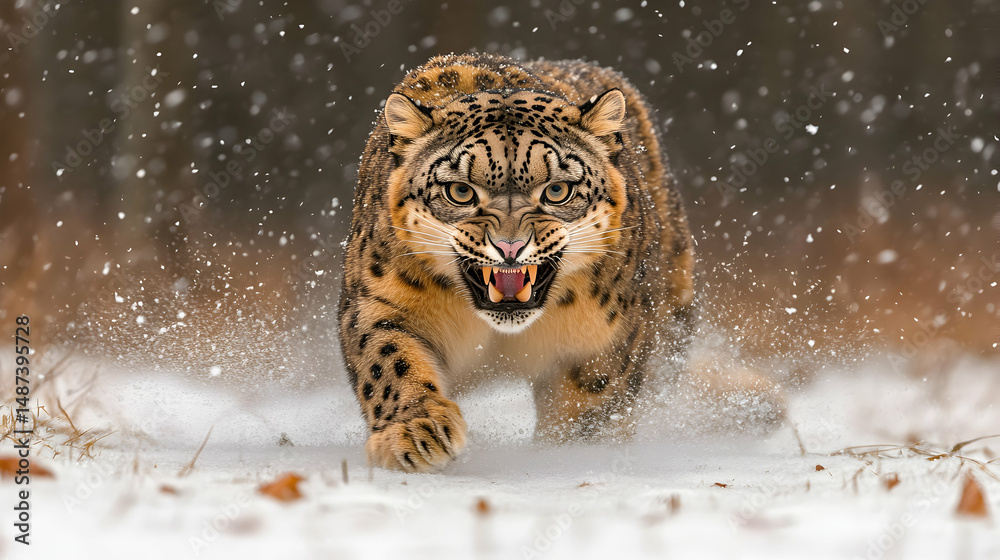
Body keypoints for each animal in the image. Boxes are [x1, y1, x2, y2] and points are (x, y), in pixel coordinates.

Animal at [338, 53, 699, 472]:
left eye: (557, 190)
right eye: (460, 191)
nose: (509, 247)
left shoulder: (603, 341)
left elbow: (589, 408)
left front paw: (570, 454)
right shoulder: (379, 303)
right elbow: (389, 361)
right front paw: (416, 431)